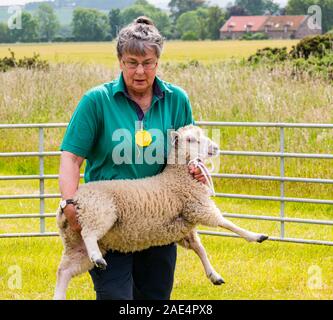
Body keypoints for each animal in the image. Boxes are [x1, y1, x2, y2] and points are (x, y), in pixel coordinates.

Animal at [53, 125, 268, 300]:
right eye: (191, 139)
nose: (215, 147)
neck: (177, 177)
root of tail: (72, 201)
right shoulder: (199, 207)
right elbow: (226, 223)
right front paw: (256, 236)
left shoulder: (185, 228)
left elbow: (199, 248)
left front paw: (213, 275)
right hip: (98, 213)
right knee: (88, 234)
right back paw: (97, 258)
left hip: (77, 244)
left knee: (64, 271)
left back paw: (60, 294)